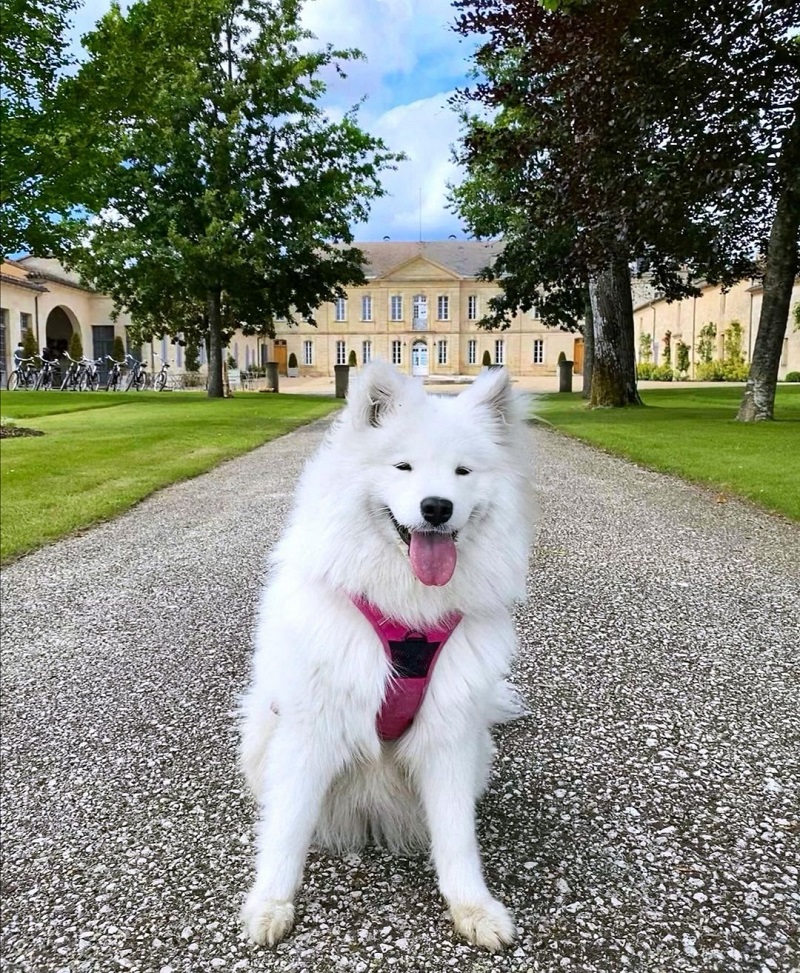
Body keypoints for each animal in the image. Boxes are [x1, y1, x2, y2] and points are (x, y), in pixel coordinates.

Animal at [238, 360, 536, 944]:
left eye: (463, 472)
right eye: (404, 466)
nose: (436, 507)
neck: (410, 619)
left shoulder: (449, 732)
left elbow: (456, 836)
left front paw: (473, 908)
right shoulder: (311, 726)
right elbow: (287, 827)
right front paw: (271, 904)